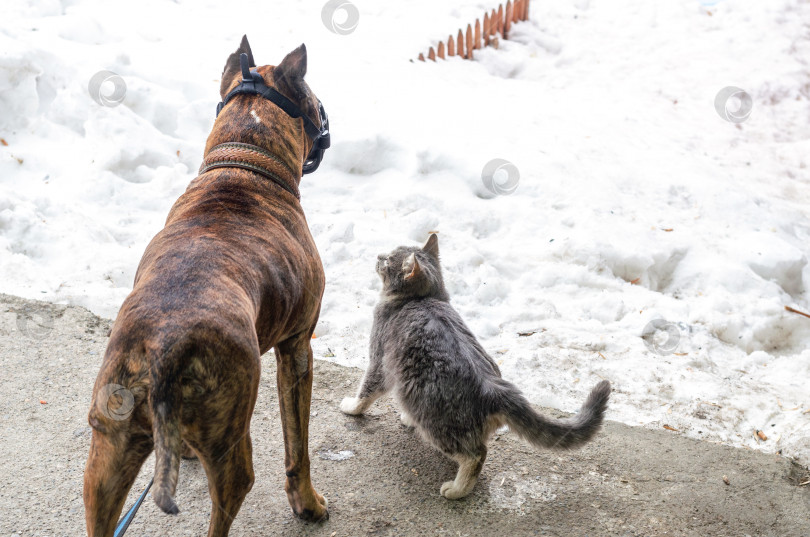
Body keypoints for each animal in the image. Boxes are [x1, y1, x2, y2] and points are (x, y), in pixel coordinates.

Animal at [84, 35, 328, 532]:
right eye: (314, 101)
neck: (242, 165)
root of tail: (161, 348)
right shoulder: (297, 349)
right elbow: (298, 446)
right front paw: (308, 503)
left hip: (106, 457)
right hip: (232, 450)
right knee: (225, 509)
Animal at [338, 234, 608, 498]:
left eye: (388, 260)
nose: (378, 255)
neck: (423, 299)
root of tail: (494, 388)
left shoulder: (379, 362)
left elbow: (366, 392)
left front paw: (352, 407)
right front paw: (406, 417)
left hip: (438, 426)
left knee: (475, 455)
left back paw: (457, 489)